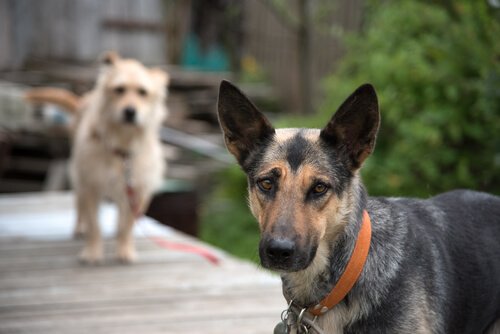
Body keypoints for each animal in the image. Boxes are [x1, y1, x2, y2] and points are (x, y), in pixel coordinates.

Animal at [27, 52, 168, 264]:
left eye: (142, 92)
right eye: (119, 89)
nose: (130, 111)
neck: (122, 147)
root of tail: (84, 100)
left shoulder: (139, 190)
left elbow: (127, 226)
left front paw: (125, 250)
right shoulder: (90, 185)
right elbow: (94, 225)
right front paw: (92, 252)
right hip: (78, 176)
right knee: (80, 208)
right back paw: (79, 229)